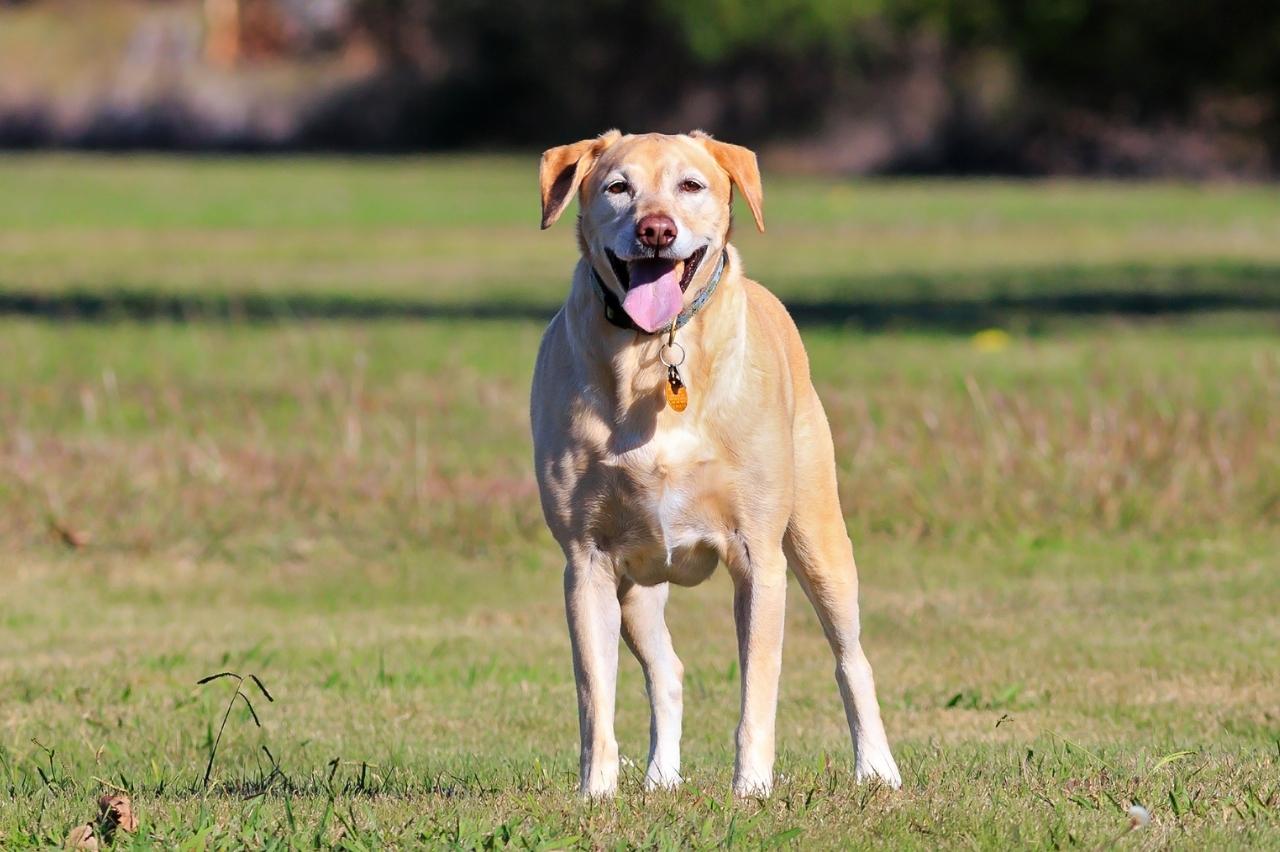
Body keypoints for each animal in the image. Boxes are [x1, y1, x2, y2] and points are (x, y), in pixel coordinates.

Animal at [529, 127, 901, 798]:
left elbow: (758, 689)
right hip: (636, 587)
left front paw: (751, 788)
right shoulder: (587, 560)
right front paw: (596, 792)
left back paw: (878, 769)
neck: (653, 351)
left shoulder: (758, 556)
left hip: (819, 538)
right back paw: (660, 777)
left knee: (851, 656)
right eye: (617, 186)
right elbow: (595, 693)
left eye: (691, 185)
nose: (655, 229)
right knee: (667, 669)